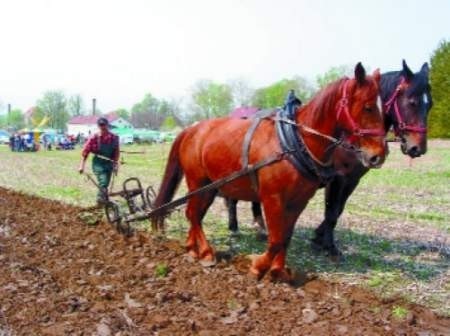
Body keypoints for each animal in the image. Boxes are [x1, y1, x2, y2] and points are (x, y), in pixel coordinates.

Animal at [155, 63, 386, 280]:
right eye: (368, 107)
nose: (379, 155)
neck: (295, 141)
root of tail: (191, 130)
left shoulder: (299, 201)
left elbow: (286, 237)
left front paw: (278, 271)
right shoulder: (272, 197)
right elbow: (275, 239)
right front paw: (258, 266)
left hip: (210, 187)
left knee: (195, 214)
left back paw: (192, 248)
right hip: (197, 181)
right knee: (193, 214)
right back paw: (205, 253)